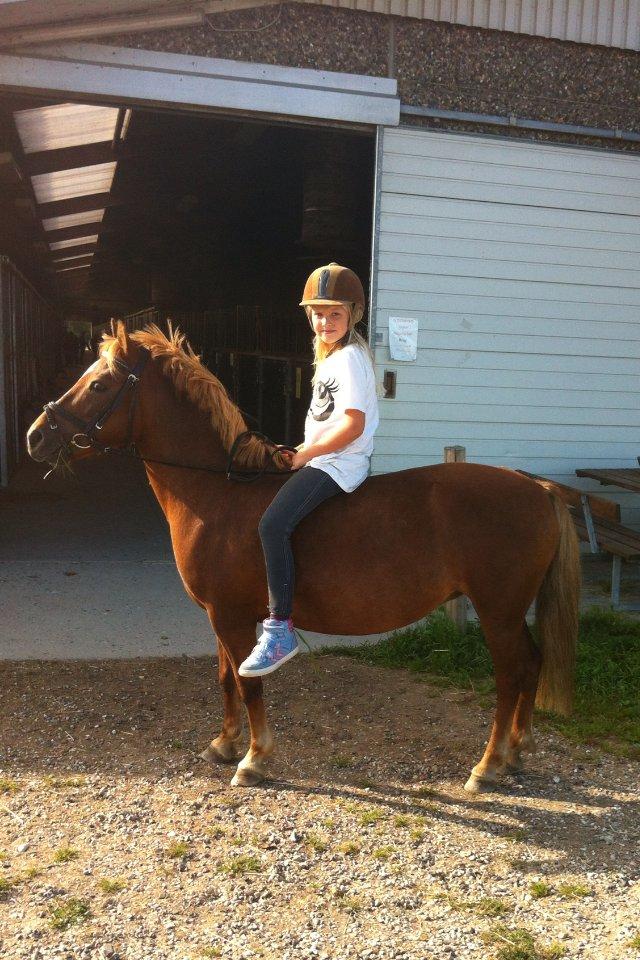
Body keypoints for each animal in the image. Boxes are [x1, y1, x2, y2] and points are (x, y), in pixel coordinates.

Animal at [26, 322, 581, 793]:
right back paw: (517, 751)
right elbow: (226, 678)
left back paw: (487, 766)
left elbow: (248, 683)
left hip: (497, 610)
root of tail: (537, 486)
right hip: (510, 610)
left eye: (100, 385)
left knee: (510, 674)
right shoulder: (220, 616)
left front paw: (254, 759)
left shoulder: (231, 616)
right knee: (531, 664)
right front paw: (225, 744)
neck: (218, 494)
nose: (36, 436)